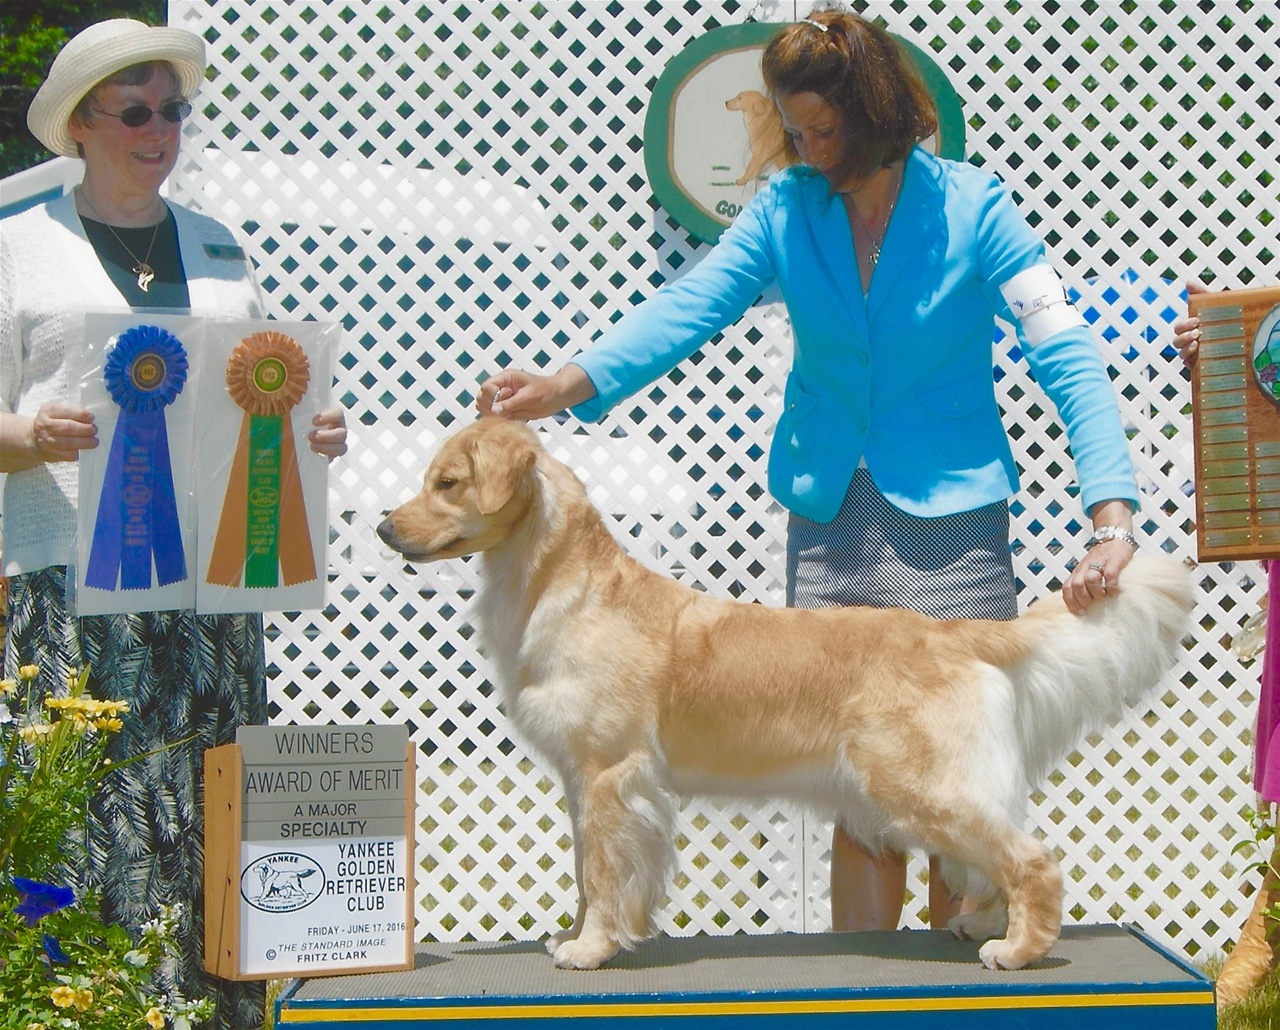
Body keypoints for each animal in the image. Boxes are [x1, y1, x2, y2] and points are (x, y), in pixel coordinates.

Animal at [373, 417, 1192, 972]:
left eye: (446, 483)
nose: (383, 526)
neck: (562, 587)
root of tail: (958, 634)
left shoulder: (610, 774)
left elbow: (604, 873)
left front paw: (591, 947)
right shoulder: (585, 782)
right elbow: (585, 869)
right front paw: (578, 933)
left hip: (919, 784)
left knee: (1032, 858)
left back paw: (1018, 950)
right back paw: (982, 925)